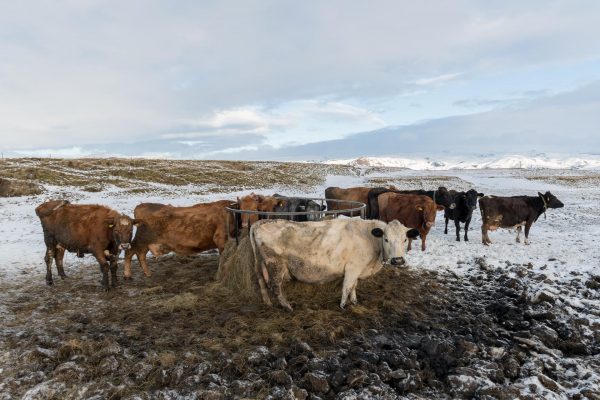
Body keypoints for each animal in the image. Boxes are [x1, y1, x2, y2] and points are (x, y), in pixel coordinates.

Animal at [122, 194, 284, 278]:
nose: (245, 225)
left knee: (140, 254)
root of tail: (142, 205)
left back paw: (147, 273)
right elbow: (222, 258)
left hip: (145, 243)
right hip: (140, 240)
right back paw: (128, 274)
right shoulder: (221, 240)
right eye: (242, 208)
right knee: (130, 252)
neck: (230, 214)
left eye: (256, 209)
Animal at [248, 217, 418, 310]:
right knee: (275, 287)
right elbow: (347, 287)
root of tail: (261, 222)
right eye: (386, 239)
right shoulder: (352, 268)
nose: (398, 260)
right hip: (275, 264)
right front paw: (343, 306)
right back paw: (287, 307)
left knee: (261, 282)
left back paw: (268, 303)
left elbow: (353, 286)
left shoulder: (356, 269)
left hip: (260, 264)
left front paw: (354, 302)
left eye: (405, 239)